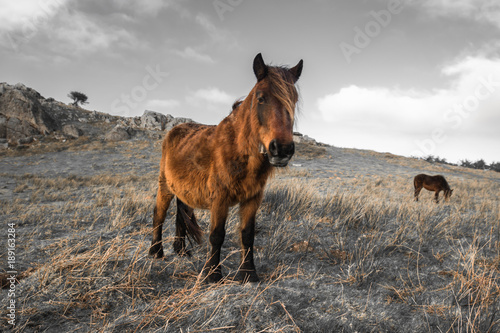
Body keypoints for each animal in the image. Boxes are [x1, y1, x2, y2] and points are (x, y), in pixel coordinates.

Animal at [148, 53, 302, 282]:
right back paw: (156, 252)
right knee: (159, 214)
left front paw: (248, 274)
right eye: (261, 98)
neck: (238, 150)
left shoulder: (252, 198)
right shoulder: (220, 198)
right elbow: (217, 235)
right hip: (165, 186)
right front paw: (212, 274)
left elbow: (247, 235)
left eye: (294, 100)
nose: (282, 149)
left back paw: (181, 250)